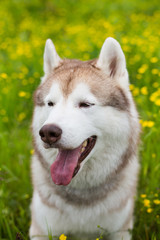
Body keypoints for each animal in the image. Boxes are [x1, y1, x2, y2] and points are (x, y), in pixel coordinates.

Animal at [30, 36, 140, 239]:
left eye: (85, 104)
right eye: (50, 103)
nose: (48, 132)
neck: (82, 196)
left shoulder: (120, 231)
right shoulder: (40, 231)